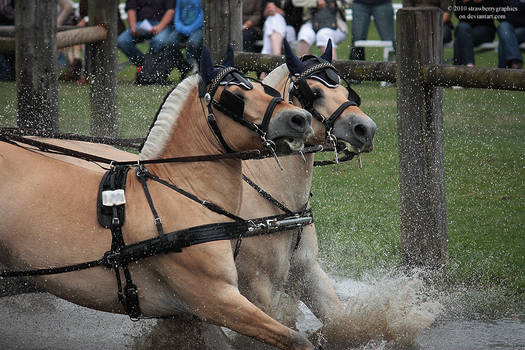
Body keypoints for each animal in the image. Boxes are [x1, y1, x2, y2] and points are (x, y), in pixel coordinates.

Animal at [0, 46, 324, 350]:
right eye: (234, 96)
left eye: (264, 89)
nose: (300, 118)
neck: (181, 192)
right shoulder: (216, 299)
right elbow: (294, 339)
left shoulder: (189, 313)